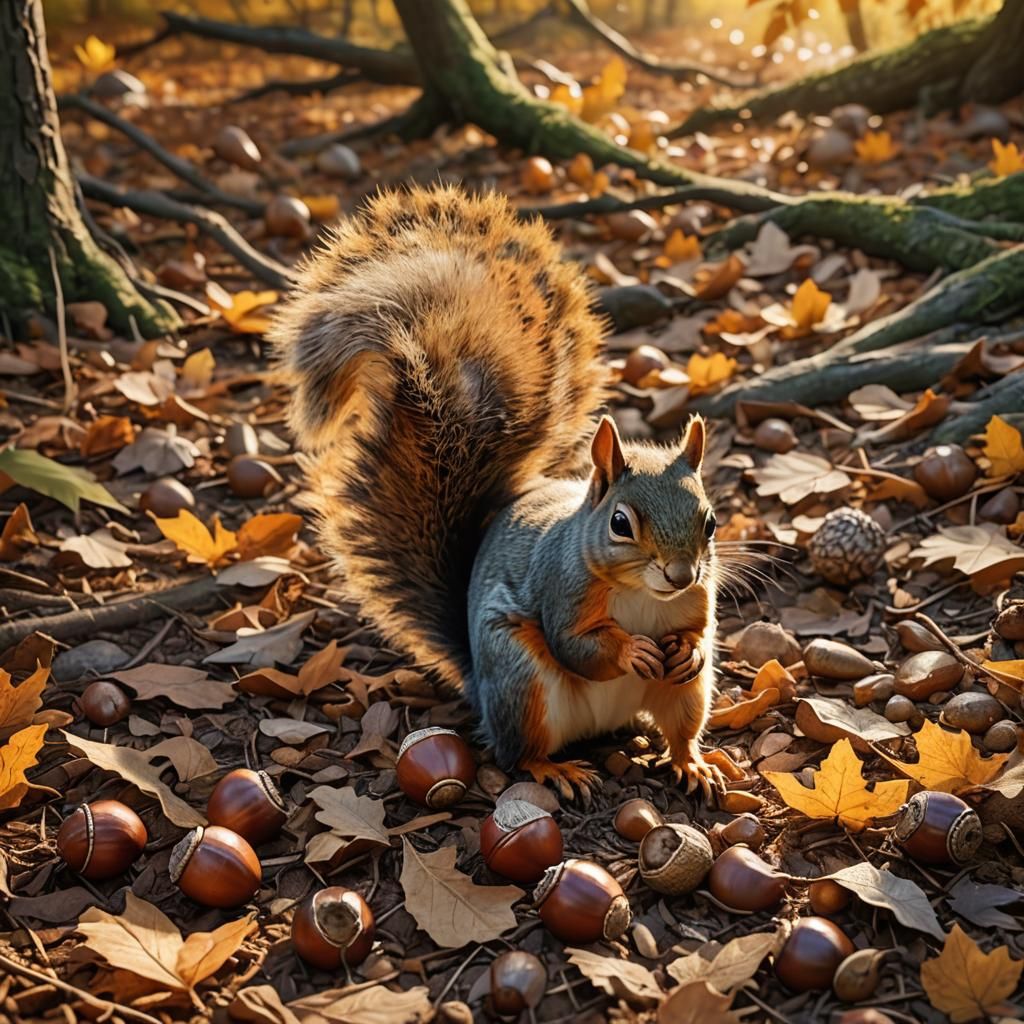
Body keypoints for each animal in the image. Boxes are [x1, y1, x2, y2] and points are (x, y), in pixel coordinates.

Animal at [272, 185, 724, 799]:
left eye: (710, 522)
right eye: (620, 523)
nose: (680, 575)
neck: (644, 596)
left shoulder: (701, 598)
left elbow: (700, 631)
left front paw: (688, 650)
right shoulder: (562, 589)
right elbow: (577, 646)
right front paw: (632, 649)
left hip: (685, 697)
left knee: (681, 725)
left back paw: (691, 763)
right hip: (520, 678)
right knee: (518, 751)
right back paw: (555, 769)